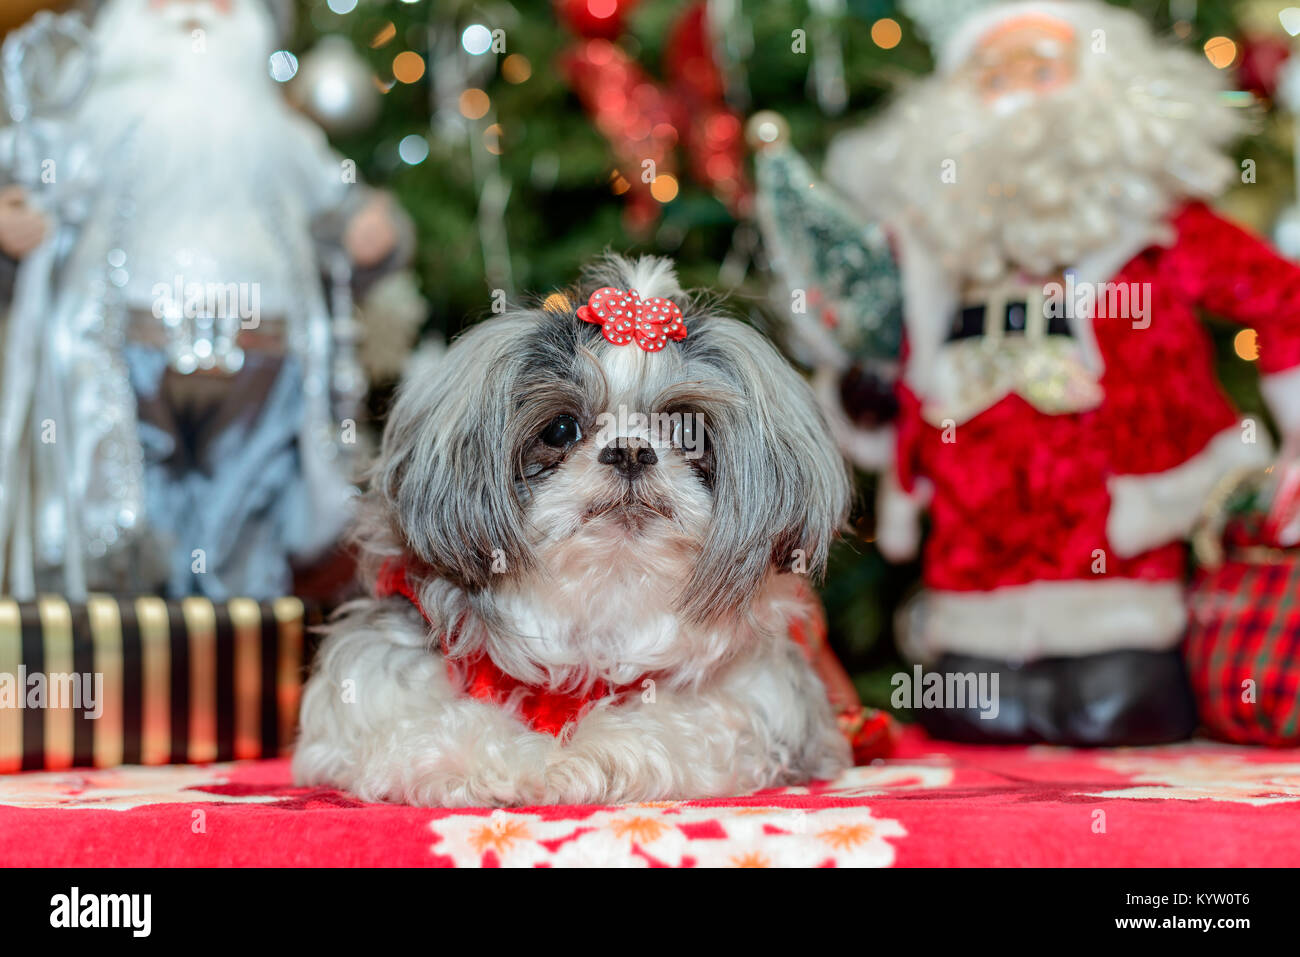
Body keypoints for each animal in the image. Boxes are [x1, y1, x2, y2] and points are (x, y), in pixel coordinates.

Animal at [292, 256, 852, 806]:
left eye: (686, 428)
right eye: (560, 429)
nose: (630, 450)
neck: (603, 595)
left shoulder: (749, 701)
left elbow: (673, 726)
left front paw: (586, 753)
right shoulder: (375, 690)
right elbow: (435, 729)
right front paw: (519, 764)